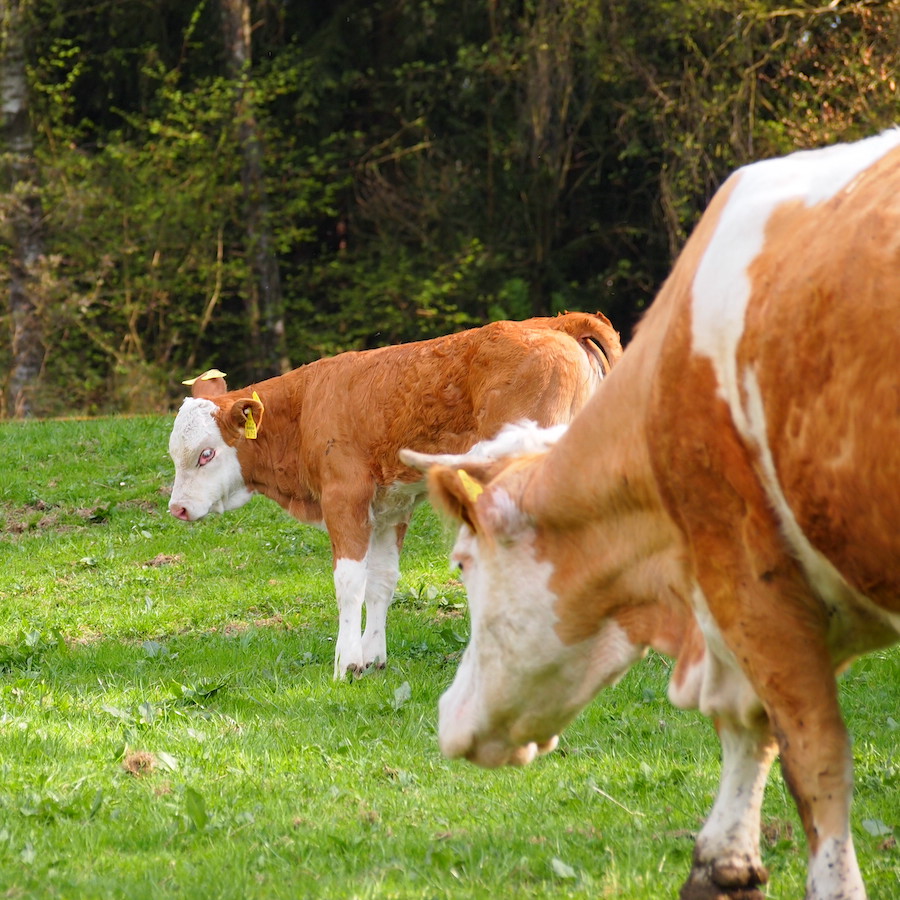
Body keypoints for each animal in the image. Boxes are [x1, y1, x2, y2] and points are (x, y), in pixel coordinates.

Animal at [166, 313, 622, 680]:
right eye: (176, 454)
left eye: (206, 453)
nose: (178, 508)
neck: (305, 409)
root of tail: (552, 324)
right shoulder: (391, 507)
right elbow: (381, 581)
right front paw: (373, 657)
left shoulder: (344, 498)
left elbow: (349, 582)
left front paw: (346, 662)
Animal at [403, 130, 900, 900]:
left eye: (463, 562)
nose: (448, 719)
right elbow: (750, 723)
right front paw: (724, 862)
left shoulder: (746, 575)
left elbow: (811, 755)